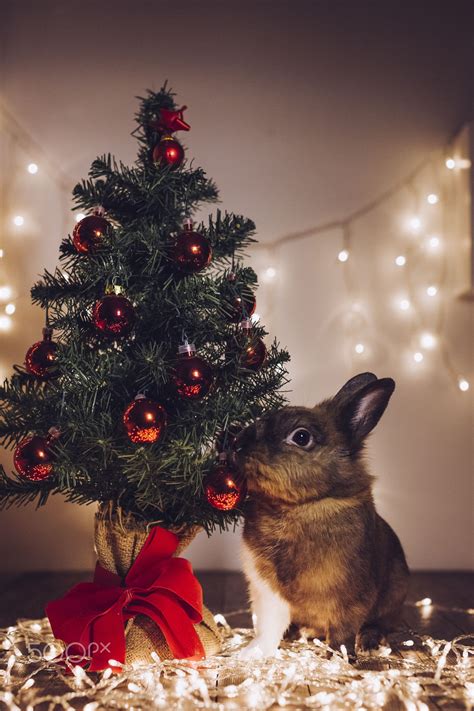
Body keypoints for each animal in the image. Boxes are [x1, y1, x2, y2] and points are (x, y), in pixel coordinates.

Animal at [235, 376, 410, 660]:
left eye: (301, 436)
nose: (236, 443)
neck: (298, 506)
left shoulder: (349, 600)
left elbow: (342, 633)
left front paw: (339, 658)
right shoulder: (268, 594)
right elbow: (269, 628)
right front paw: (252, 653)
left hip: (393, 595)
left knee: (379, 623)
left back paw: (368, 642)